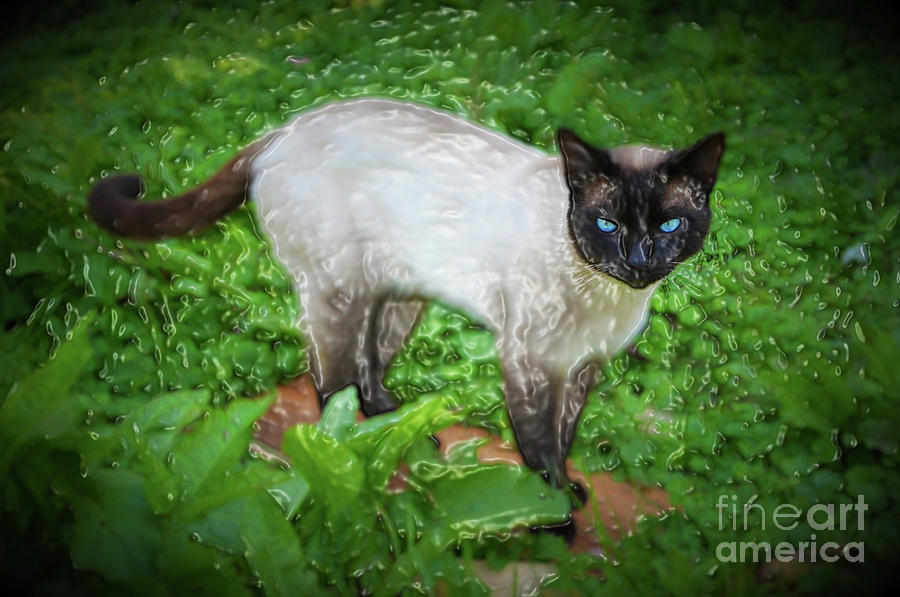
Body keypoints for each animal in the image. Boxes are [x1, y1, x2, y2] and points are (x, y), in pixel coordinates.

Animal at [89, 98, 724, 488]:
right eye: (607, 224)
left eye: (669, 225)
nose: (638, 261)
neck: (610, 295)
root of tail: (283, 129)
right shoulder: (532, 362)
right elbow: (540, 445)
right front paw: (555, 512)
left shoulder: (583, 367)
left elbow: (566, 437)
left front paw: (569, 491)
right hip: (341, 293)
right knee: (330, 379)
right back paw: (347, 450)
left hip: (395, 299)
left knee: (368, 367)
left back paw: (393, 429)